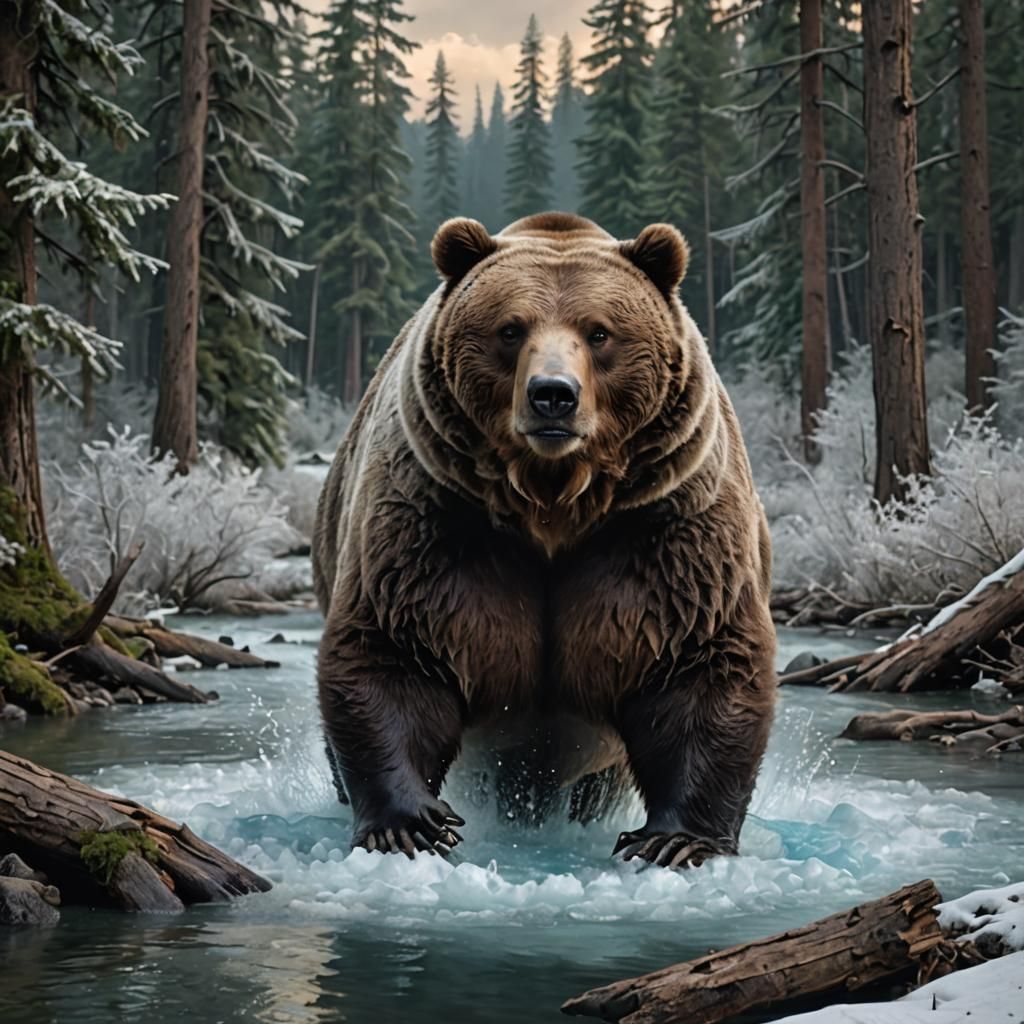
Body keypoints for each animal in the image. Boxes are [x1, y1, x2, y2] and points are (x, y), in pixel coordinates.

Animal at [312, 212, 776, 868]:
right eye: (510, 329)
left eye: (600, 332)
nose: (552, 394)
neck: (555, 503)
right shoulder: (439, 520)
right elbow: (397, 647)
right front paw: (413, 825)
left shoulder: (666, 529)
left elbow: (699, 660)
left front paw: (675, 839)